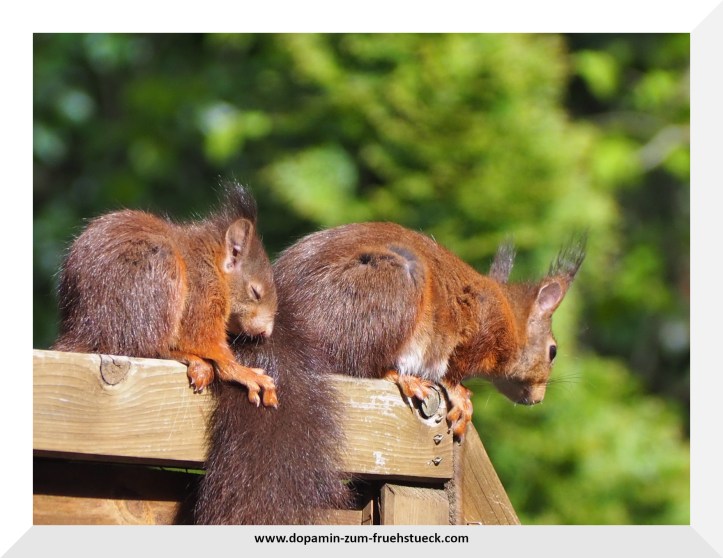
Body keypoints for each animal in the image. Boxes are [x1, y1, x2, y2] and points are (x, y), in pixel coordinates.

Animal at [52, 183, 279, 407]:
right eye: (255, 292)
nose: (267, 332)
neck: (212, 262)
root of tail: (88, 328)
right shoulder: (203, 291)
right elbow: (203, 340)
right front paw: (242, 372)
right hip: (160, 281)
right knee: (147, 349)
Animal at [194, 221, 585, 524]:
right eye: (553, 351)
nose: (537, 398)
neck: (507, 315)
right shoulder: (472, 334)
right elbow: (453, 370)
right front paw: (460, 395)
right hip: (390, 285)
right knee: (358, 363)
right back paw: (401, 377)